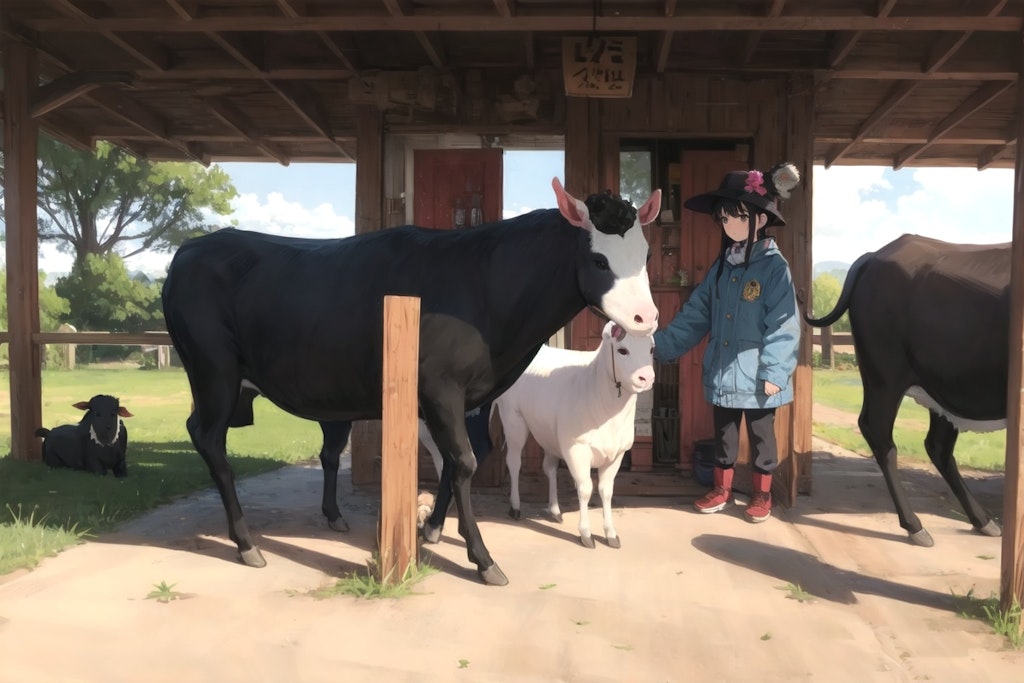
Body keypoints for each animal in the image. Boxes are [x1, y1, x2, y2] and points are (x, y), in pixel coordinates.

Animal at [495, 321, 655, 548]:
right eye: (623, 350)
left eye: (651, 349)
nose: (647, 377)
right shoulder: (576, 448)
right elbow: (585, 488)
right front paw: (586, 534)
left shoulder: (617, 453)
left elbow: (606, 491)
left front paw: (611, 534)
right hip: (513, 418)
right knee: (514, 462)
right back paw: (515, 507)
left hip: (548, 432)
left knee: (549, 468)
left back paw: (555, 510)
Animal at [811, 237, 1003, 548]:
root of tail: (873, 255)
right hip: (884, 377)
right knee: (879, 433)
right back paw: (916, 526)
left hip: (939, 391)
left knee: (937, 445)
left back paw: (983, 522)